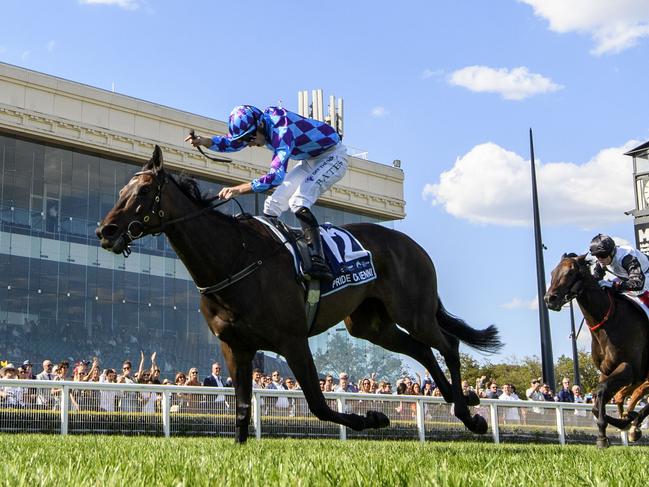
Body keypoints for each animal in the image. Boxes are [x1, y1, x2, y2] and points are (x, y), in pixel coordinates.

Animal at [95, 145, 502, 442]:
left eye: (144, 190)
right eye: (122, 190)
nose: (105, 231)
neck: (233, 257)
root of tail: (414, 246)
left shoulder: (292, 339)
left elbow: (318, 403)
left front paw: (372, 417)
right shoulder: (235, 346)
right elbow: (242, 406)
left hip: (413, 311)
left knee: (447, 344)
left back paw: (469, 413)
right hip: (370, 325)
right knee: (421, 349)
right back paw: (461, 401)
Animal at [540, 255, 648, 450]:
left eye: (570, 272)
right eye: (552, 272)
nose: (549, 298)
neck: (608, 321)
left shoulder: (630, 368)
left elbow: (602, 392)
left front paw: (611, 431)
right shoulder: (606, 371)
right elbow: (597, 402)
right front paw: (609, 430)